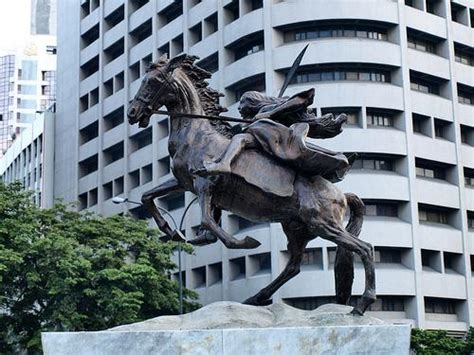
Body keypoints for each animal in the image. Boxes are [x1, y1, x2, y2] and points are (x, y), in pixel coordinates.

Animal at [128, 52, 376, 314]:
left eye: (153, 81)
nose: (132, 113)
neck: (195, 134)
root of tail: (340, 194)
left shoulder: (204, 183)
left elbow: (208, 220)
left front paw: (244, 241)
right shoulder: (184, 182)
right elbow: (148, 197)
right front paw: (170, 230)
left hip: (323, 223)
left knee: (365, 248)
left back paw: (363, 303)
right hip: (297, 228)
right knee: (294, 266)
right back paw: (257, 298)